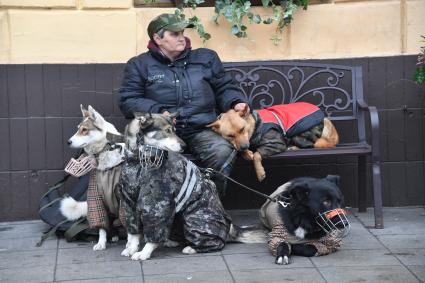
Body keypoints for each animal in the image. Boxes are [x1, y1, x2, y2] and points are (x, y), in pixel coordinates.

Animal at [61, 105, 124, 252]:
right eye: (78, 128)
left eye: (84, 130)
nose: (68, 142)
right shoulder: (96, 196)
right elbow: (101, 227)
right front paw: (101, 243)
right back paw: (114, 236)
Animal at [116, 112, 262, 262]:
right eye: (167, 130)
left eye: (175, 130)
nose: (184, 146)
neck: (141, 160)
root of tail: (230, 227)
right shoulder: (129, 201)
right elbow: (133, 233)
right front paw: (131, 248)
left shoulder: (159, 203)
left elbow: (154, 231)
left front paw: (144, 252)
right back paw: (171, 241)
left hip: (194, 219)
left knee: (218, 242)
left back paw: (192, 248)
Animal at [207, 102, 340, 182]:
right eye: (230, 135)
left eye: (242, 129)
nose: (245, 147)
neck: (255, 124)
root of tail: (326, 120)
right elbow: (240, 149)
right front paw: (246, 153)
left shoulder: (275, 143)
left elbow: (257, 154)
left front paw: (259, 172)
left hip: (300, 134)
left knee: (310, 145)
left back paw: (292, 147)